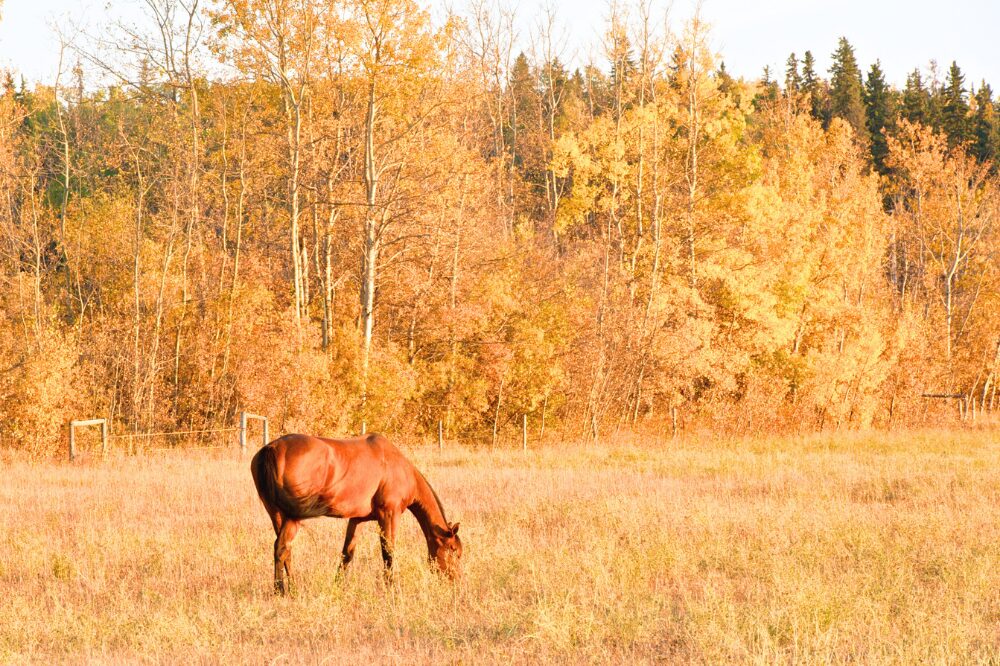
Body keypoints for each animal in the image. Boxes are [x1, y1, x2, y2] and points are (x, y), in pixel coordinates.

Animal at [250, 432, 462, 594]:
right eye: (454, 551)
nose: (456, 581)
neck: (398, 468)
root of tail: (272, 449)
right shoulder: (389, 515)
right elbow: (388, 552)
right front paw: (391, 587)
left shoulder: (357, 519)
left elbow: (347, 553)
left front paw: (337, 585)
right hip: (292, 517)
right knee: (281, 548)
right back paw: (281, 590)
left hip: (277, 515)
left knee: (285, 550)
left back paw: (291, 587)